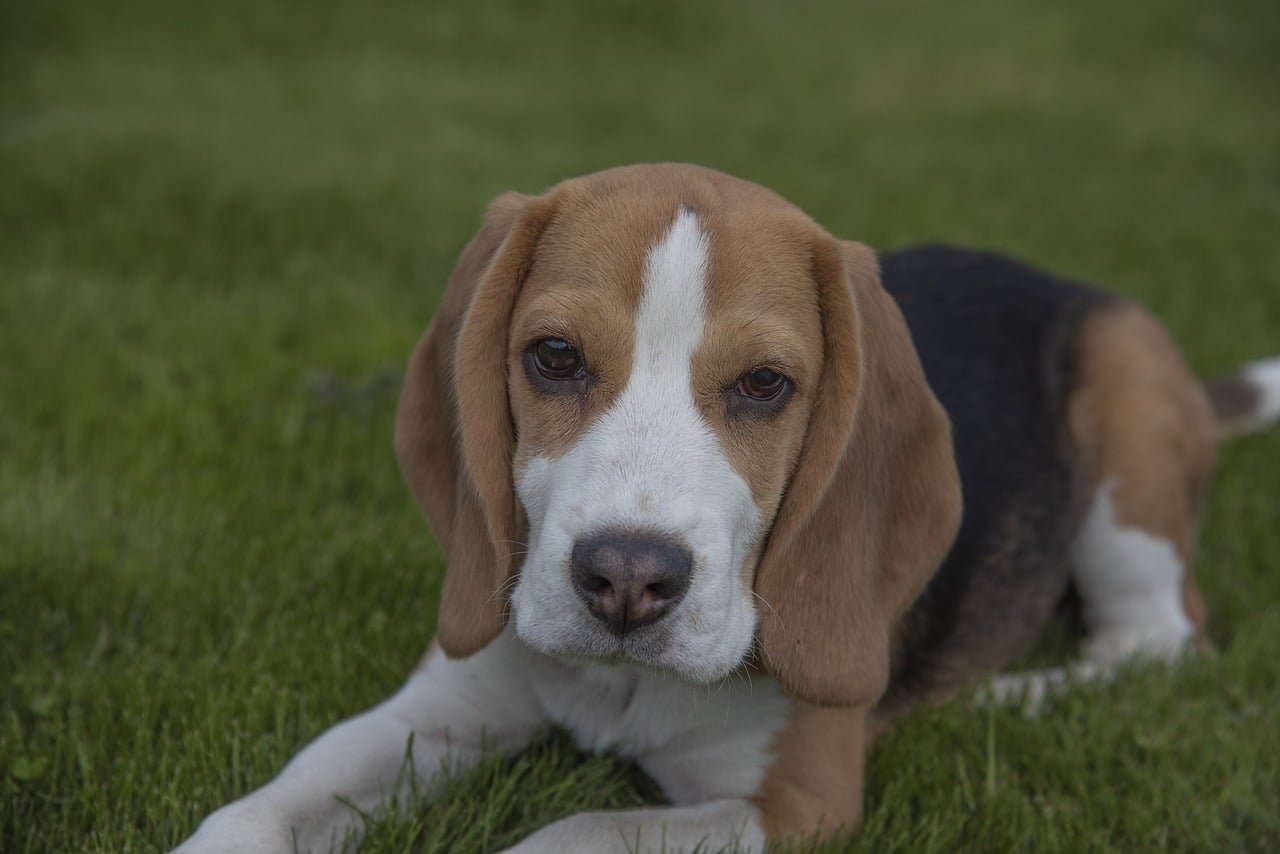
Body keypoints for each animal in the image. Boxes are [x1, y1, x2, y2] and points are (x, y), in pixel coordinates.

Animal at [180, 163, 1280, 850]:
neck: (619, 688)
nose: (627, 578)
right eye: (553, 356)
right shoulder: (442, 707)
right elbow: (263, 806)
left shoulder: (797, 801)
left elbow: (575, 830)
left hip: (1127, 440)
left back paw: (998, 696)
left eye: (763, 385)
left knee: (1158, 638)